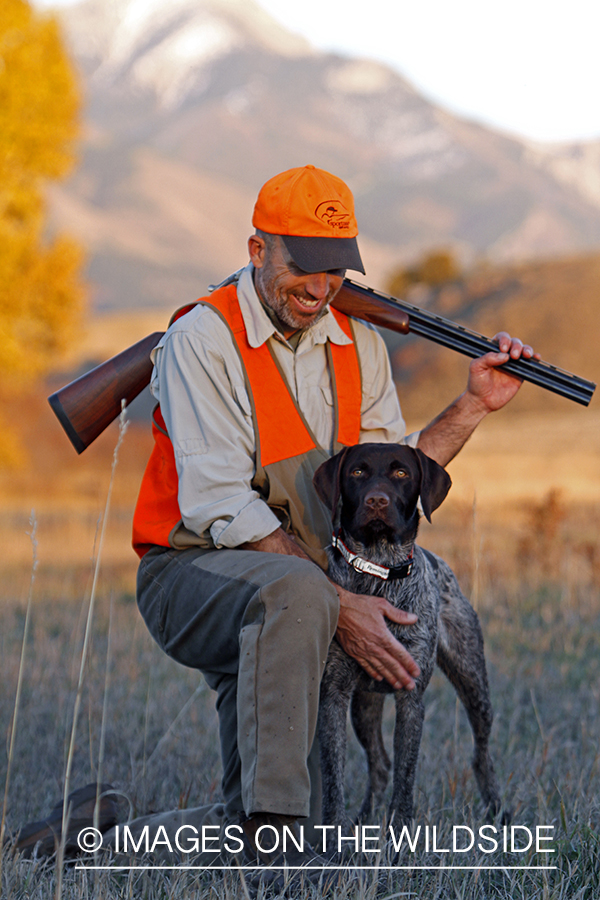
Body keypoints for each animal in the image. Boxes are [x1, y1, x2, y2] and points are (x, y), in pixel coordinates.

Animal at [314, 442, 502, 828]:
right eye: (357, 472)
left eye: (401, 473)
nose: (376, 501)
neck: (378, 569)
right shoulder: (334, 695)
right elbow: (333, 781)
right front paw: (335, 839)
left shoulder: (411, 698)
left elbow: (406, 777)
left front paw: (399, 835)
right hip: (364, 704)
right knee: (380, 764)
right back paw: (363, 820)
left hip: (474, 683)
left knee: (482, 754)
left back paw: (497, 812)